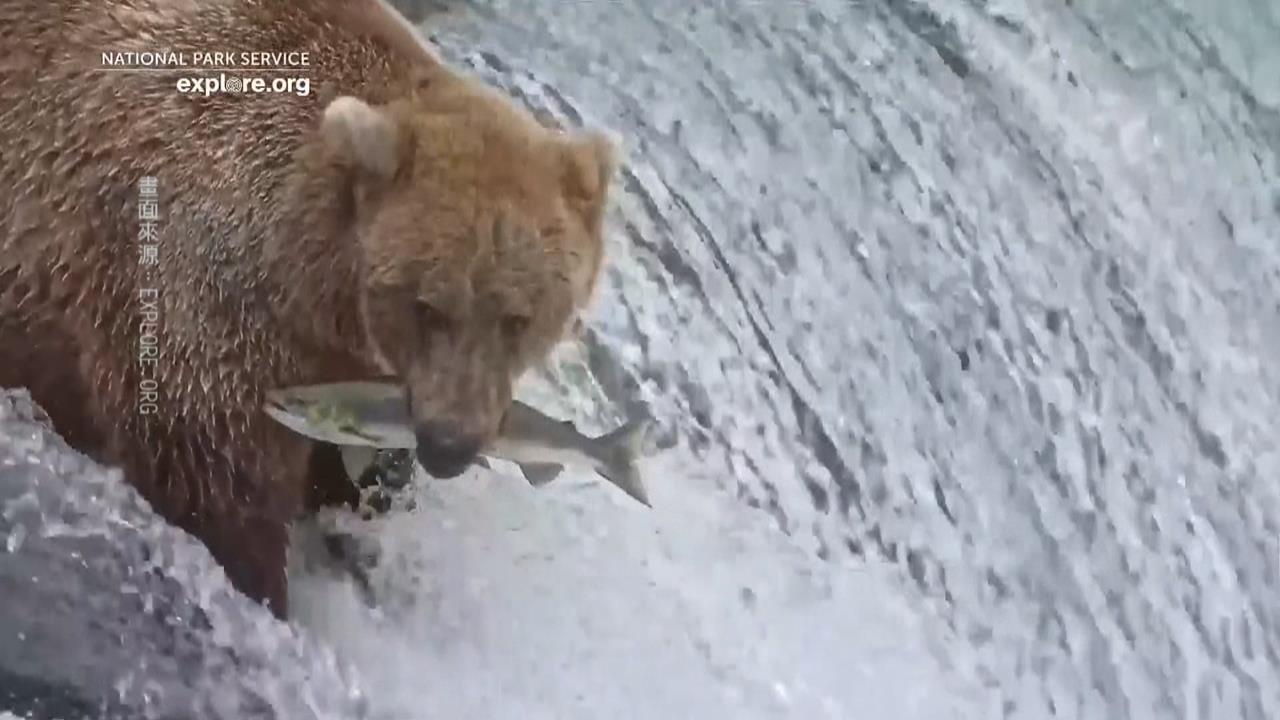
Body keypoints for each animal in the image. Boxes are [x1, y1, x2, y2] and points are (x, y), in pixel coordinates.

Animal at [0, 0, 616, 618]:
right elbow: (218, 480)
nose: (450, 445)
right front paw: (263, 585)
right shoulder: (202, 305)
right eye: (427, 306)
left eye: (519, 319)